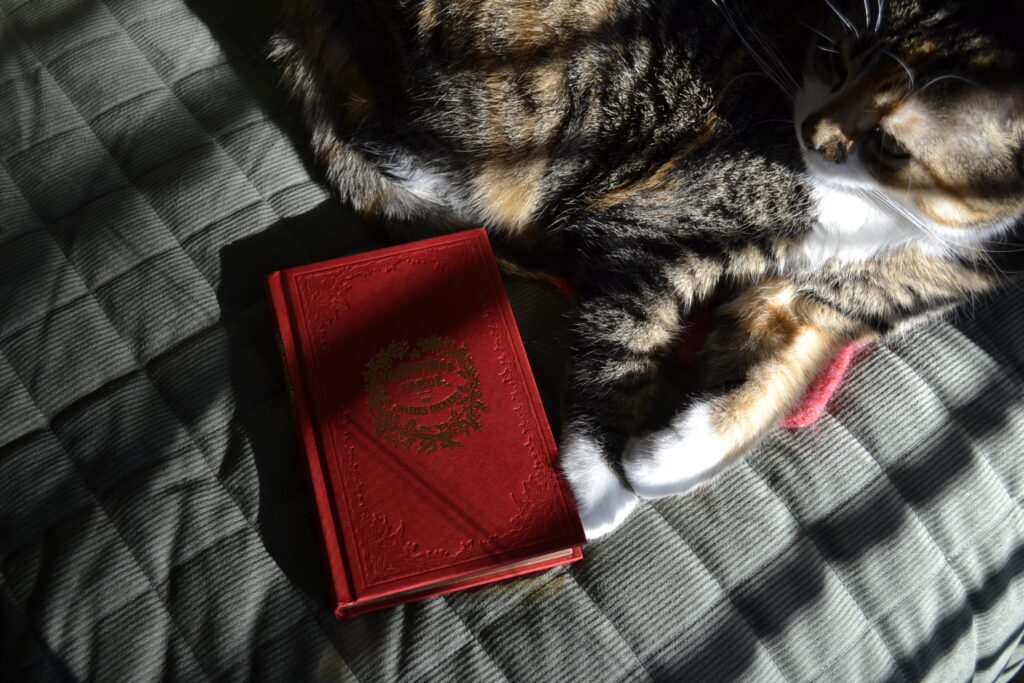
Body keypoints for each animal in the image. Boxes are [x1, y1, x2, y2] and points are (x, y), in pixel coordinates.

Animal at [272, 1, 1024, 540]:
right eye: (834, 60)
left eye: (889, 141)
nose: (812, 132)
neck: (880, 217)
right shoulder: (660, 230)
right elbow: (623, 342)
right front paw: (601, 480)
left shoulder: (829, 313)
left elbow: (780, 383)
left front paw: (669, 459)